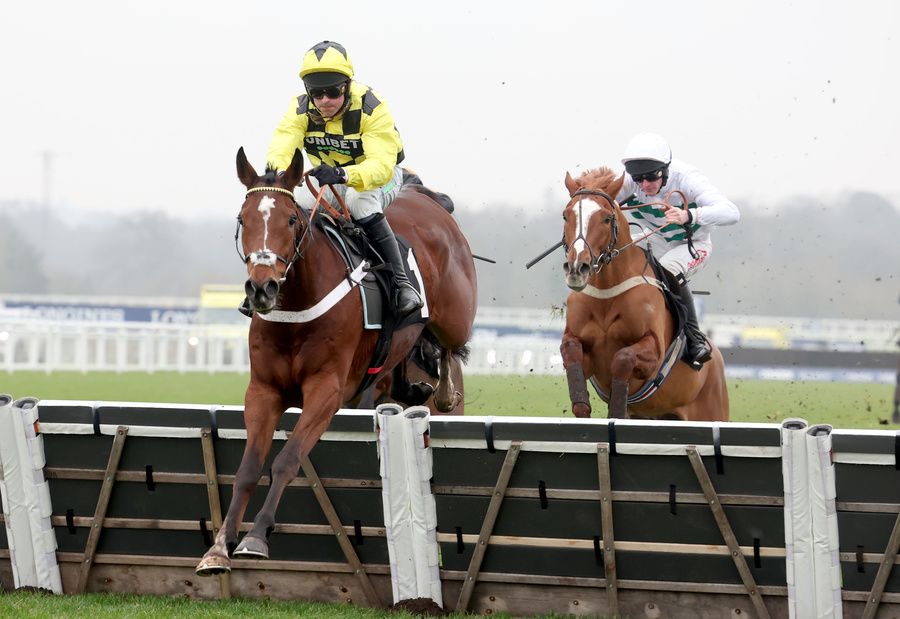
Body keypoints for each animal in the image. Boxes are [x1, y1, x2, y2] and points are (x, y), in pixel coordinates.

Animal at [197, 147, 478, 576]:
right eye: (242, 219)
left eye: (291, 219)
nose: (262, 288)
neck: (299, 306)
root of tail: (426, 198)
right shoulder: (263, 390)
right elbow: (247, 469)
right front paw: (217, 548)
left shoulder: (326, 390)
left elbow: (288, 460)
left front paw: (256, 537)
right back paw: (411, 386)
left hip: (455, 316)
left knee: (450, 346)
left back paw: (443, 390)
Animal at [560, 167, 728, 424]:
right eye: (566, 216)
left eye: (606, 218)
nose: (578, 268)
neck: (607, 294)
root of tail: (717, 360)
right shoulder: (579, 347)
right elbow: (571, 351)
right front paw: (582, 409)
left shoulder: (654, 353)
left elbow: (623, 357)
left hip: (712, 413)